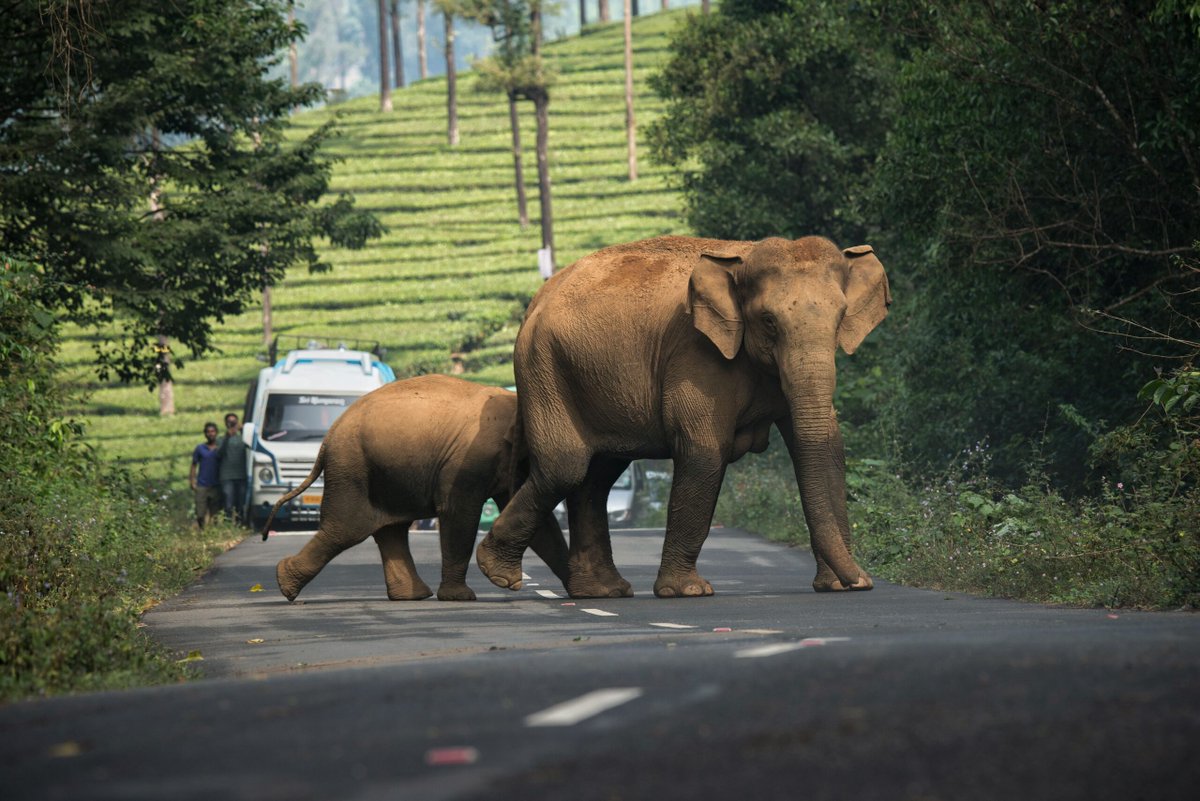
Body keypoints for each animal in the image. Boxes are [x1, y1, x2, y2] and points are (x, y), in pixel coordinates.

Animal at [260, 376, 568, 599]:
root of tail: (327, 438)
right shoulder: (470, 459)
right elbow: (459, 512)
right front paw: (461, 597)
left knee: (389, 529)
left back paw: (413, 596)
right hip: (352, 469)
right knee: (345, 529)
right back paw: (285, 583)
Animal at [477, 235, 892, 597]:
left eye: (841, 317)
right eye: (769, 321)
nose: (862, 582)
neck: (744, 257)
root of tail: (536, 299)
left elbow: (831, 450)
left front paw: (838, 586)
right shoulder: (696, 354)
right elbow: (705, 452)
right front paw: (688, 591)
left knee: (596, 479)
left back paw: (602, 592)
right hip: (545, 370)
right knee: (566, 467)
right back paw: (500, 574)